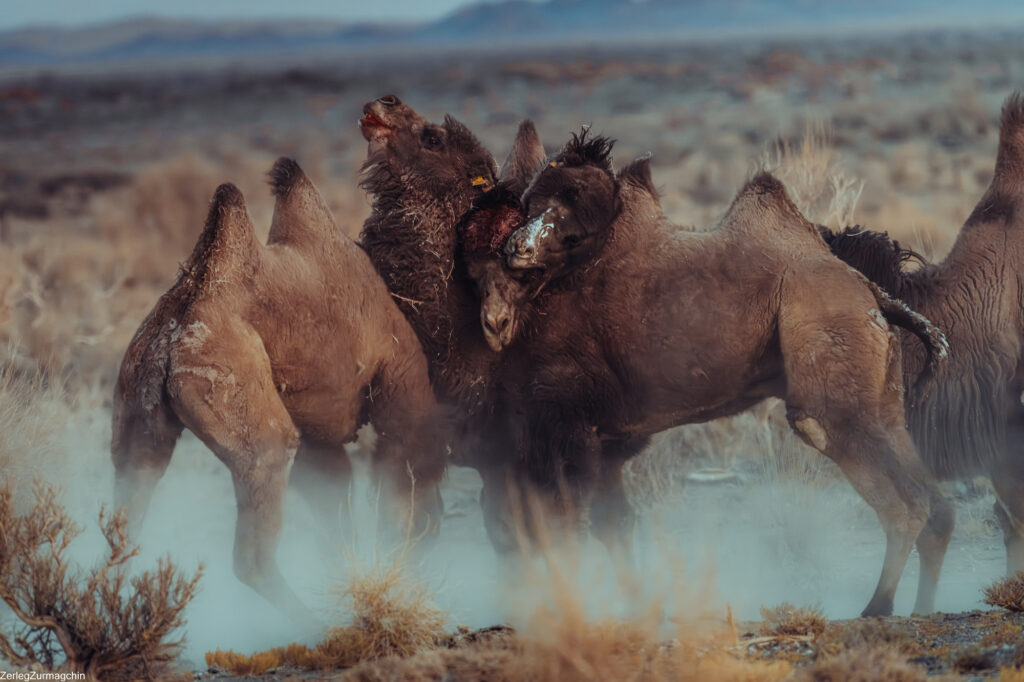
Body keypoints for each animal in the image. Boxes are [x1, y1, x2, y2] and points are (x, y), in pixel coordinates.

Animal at [111, 158, 445, 624]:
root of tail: (171, 339)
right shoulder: (402, 380)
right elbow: (405, 482)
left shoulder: (321, 442)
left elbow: (335, 509)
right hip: (251, 422)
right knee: (252, 550)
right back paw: (314, 624)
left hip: (136, 417)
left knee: (124, 518)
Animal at [492, 131, 950, 617]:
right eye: (530, 201)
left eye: (572, 204)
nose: (516, 248)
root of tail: (873, 292)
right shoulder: (595, 438)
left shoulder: (563, 422)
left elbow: (553, 526)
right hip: (882, 395)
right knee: (937, 503)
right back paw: (923, 606)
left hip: (833, 386)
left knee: (901, 499)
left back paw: (877, 606)